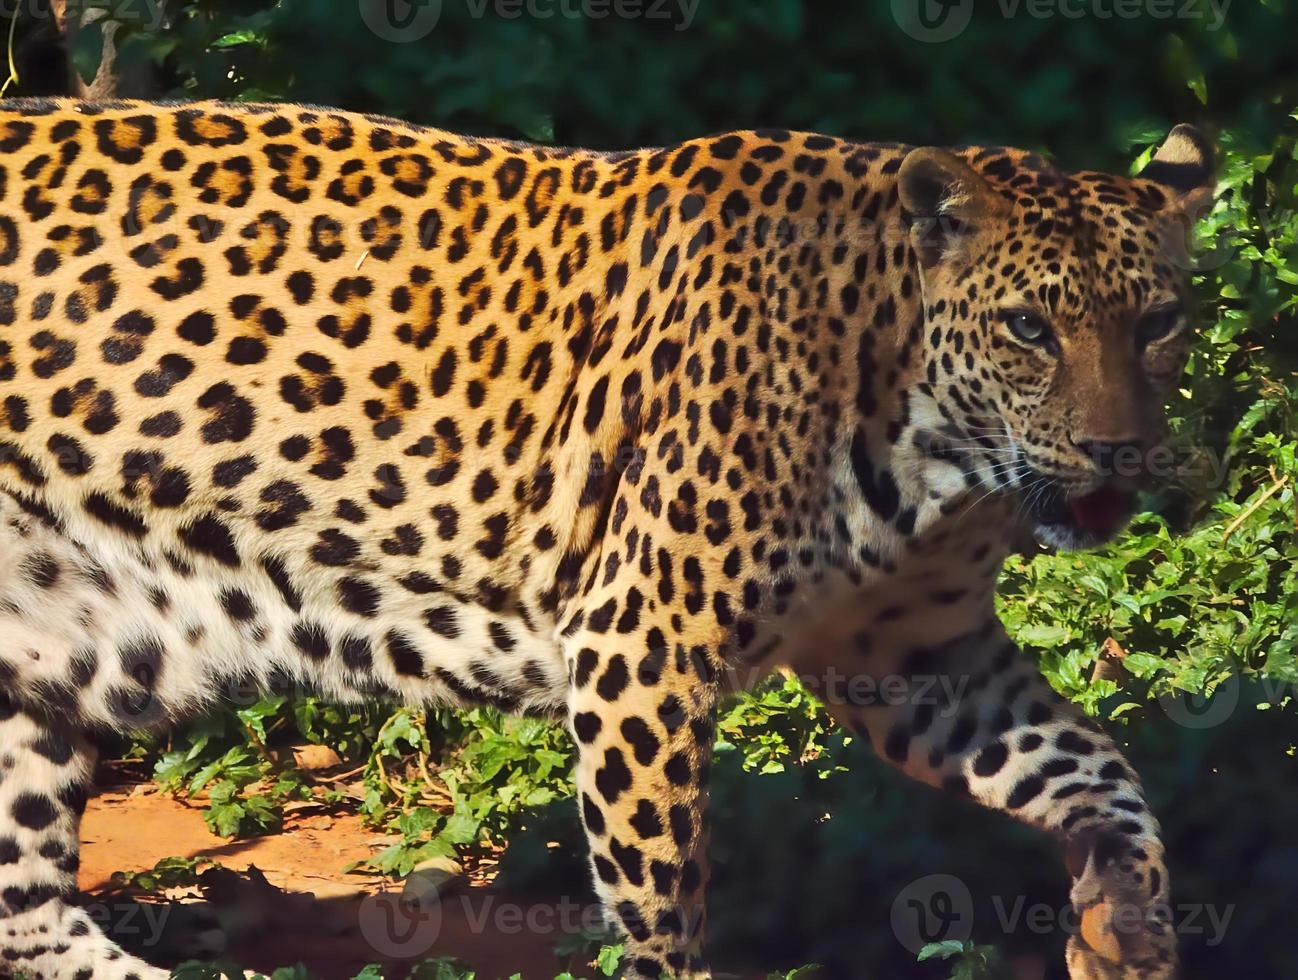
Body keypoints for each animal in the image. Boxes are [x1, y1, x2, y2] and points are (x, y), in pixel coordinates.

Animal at [0, 99, 1209, 980]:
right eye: (1029, 329)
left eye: (1157, 323)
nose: (1116, 451)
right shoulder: (642, 649)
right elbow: (659, 896)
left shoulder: (917, 657)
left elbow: (1098, 769)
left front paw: (1124, 925)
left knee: (27, 910)